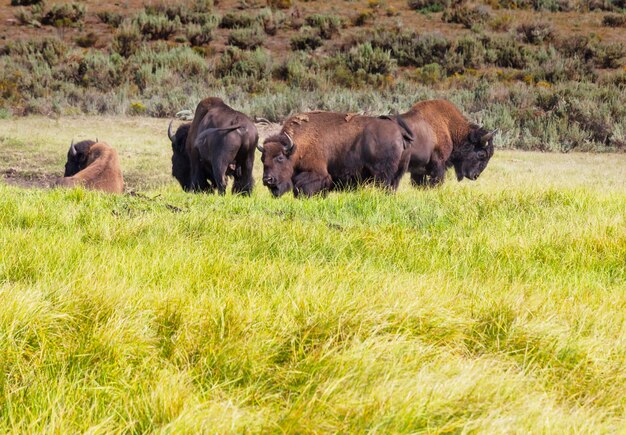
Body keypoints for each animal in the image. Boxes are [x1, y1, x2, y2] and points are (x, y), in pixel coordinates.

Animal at [256, 110, 412, 198]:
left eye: (280, 157)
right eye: (263, 159)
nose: (267, 180)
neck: (297, 146)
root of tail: (399, 131)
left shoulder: (316, 173)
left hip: (382, 176)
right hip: (396, 175)